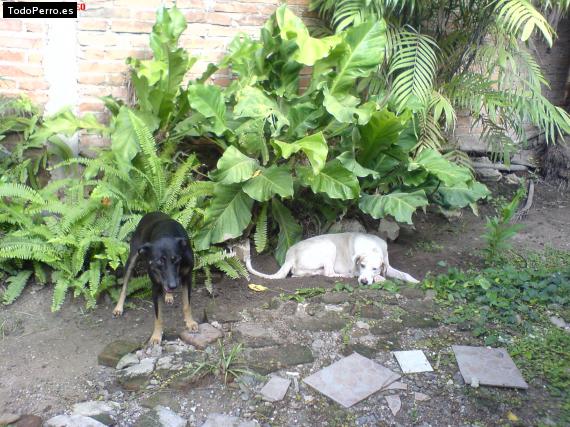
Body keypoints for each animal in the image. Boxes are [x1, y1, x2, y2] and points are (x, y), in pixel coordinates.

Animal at [112, 212, 199, 346]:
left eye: (176, 259)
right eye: (159, 261)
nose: (173, 285)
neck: (166, 233)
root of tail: (150, 213)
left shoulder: (187, 278)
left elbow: (187, 304)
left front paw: (190, 323)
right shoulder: (156, 286)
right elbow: (158, 316)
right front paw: (156, 336)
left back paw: (169, 296)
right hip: (132, 258)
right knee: (124, 286)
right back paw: (118, 307)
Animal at [229, 232, 420, 286]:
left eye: (374, 267)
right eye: (362, 265)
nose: (364, 282)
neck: (371, 248)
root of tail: (289, 256)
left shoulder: (387, 264)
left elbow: (402, 273)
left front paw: (416, 281)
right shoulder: (355, 269)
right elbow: (379, 277)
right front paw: (378, 279)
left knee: (299, 274)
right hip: (329, 246)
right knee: (329, 273)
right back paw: (342, 276)